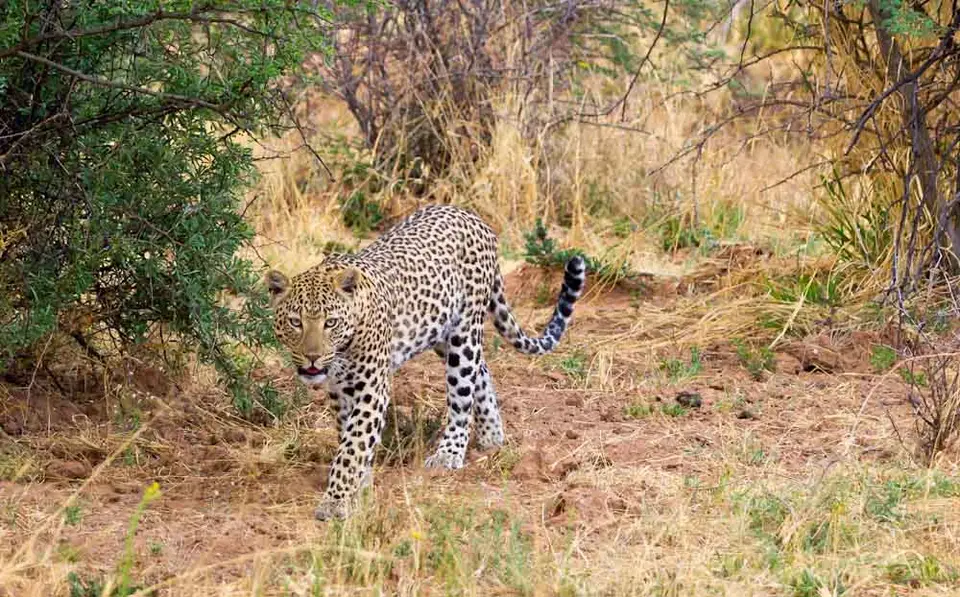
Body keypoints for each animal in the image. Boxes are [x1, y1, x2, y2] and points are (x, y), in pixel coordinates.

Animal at [265, 204, 586, 520]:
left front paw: (335, 502)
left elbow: (353, 445)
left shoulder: (371, 388)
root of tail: (474, 217)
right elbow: (350, 436)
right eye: (295, 322)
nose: (312, 357)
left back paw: (450, 453)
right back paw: (492, 438)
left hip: (464, 333)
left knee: (462, 395)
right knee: (481, 372)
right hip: (440, 333)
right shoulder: (339, 391)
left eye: (330, 323)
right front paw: (360, 485)